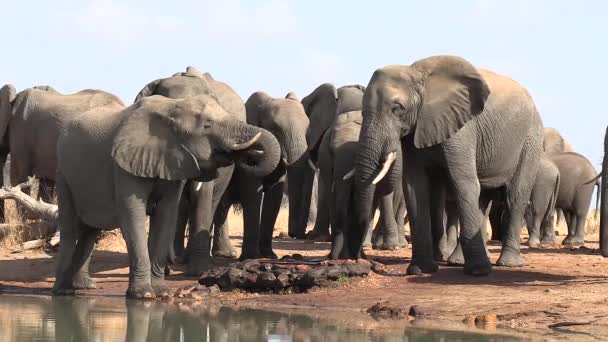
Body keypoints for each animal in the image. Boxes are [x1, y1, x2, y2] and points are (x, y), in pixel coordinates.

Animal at [51, 94, 280, 300]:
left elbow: (167, 214)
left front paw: (162, 293)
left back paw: (84, 287)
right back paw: (63, 292)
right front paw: (143, 295)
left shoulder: (171, 160)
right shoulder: (123, 166)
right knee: (71, 230)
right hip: (63, 178)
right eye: (207, 125)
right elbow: (132, 216)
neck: (172, 108)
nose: (249, 155)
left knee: (90, 232)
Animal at [352, 55, 540, 276]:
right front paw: (420, 271)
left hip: (530, 139)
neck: (416, 74)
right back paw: (457, 261)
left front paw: (478, 272)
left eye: (397, 108)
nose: (360, 257)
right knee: (482, 198)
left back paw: (507, 264)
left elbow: (464, 183)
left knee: (514, 196)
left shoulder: (462, 127)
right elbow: (415, 189)